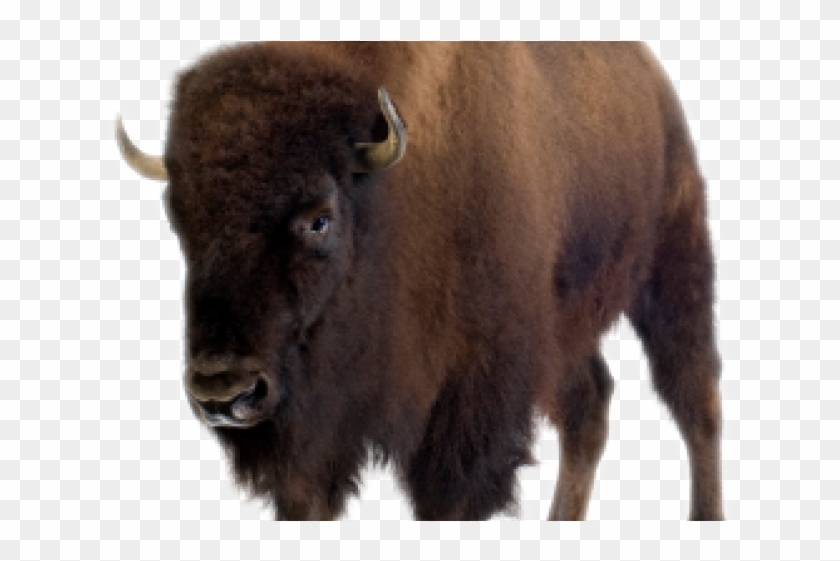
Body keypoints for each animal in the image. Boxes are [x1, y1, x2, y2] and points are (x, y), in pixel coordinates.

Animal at [116, 42, 723, 520]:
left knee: (695, 399)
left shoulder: (472, 399)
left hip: (672, 269)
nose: (225, 391)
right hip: (567, 332)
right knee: (589, 409)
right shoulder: (314, 438)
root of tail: (652, 78)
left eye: (319, 218)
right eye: (179, 216)